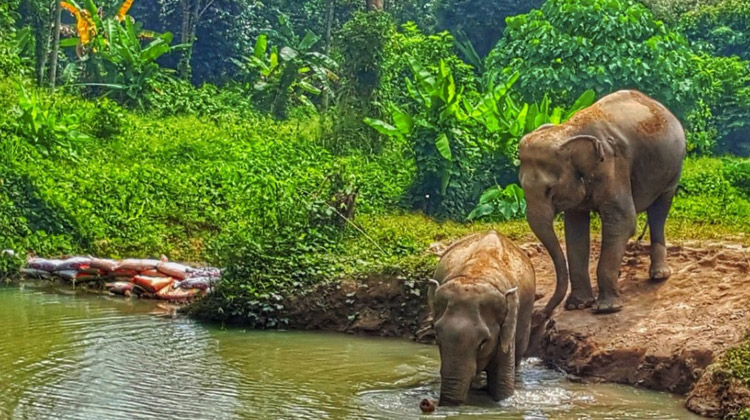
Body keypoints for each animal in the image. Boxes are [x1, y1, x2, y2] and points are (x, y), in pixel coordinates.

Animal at [426, 231, 536, 406]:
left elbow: (502, 386)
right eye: (437, 337)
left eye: (483, 343)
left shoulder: (506, 330)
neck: (476, 275)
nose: (428, 403)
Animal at [524, 91, 688, 316]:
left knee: (659, 212)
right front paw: (577, 305)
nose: (541, 313)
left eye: (549, 190)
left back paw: (659, 275)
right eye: (522, 188)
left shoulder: (613, 165)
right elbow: (575, 230)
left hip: (674, 169)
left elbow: (623, 221)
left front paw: (606, 309)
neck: (569, 130)